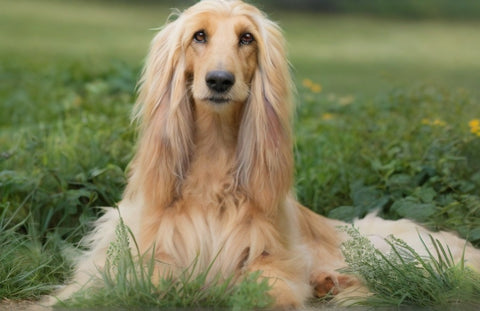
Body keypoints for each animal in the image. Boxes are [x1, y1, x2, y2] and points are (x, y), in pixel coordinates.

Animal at [52, 0, 480, 310]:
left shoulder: (270, 258)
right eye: (199, 36)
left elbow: (273, 289)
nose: (220, 81)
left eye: (246, 38)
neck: (211, 169)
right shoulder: (141, 255)